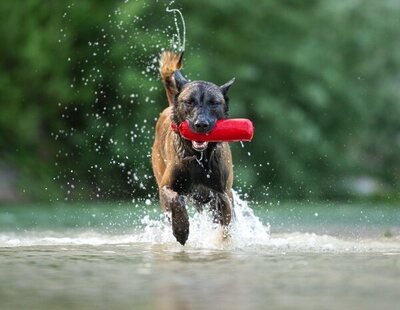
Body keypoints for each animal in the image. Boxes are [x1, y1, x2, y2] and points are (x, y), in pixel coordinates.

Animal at [152, 50, 236, 245]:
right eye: (189, 101)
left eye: (214, 103)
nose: (201, 124)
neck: (199, 159)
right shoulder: (166, 187)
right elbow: (176, 200)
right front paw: (181, 229)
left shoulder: (223, 192)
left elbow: (224, 222)